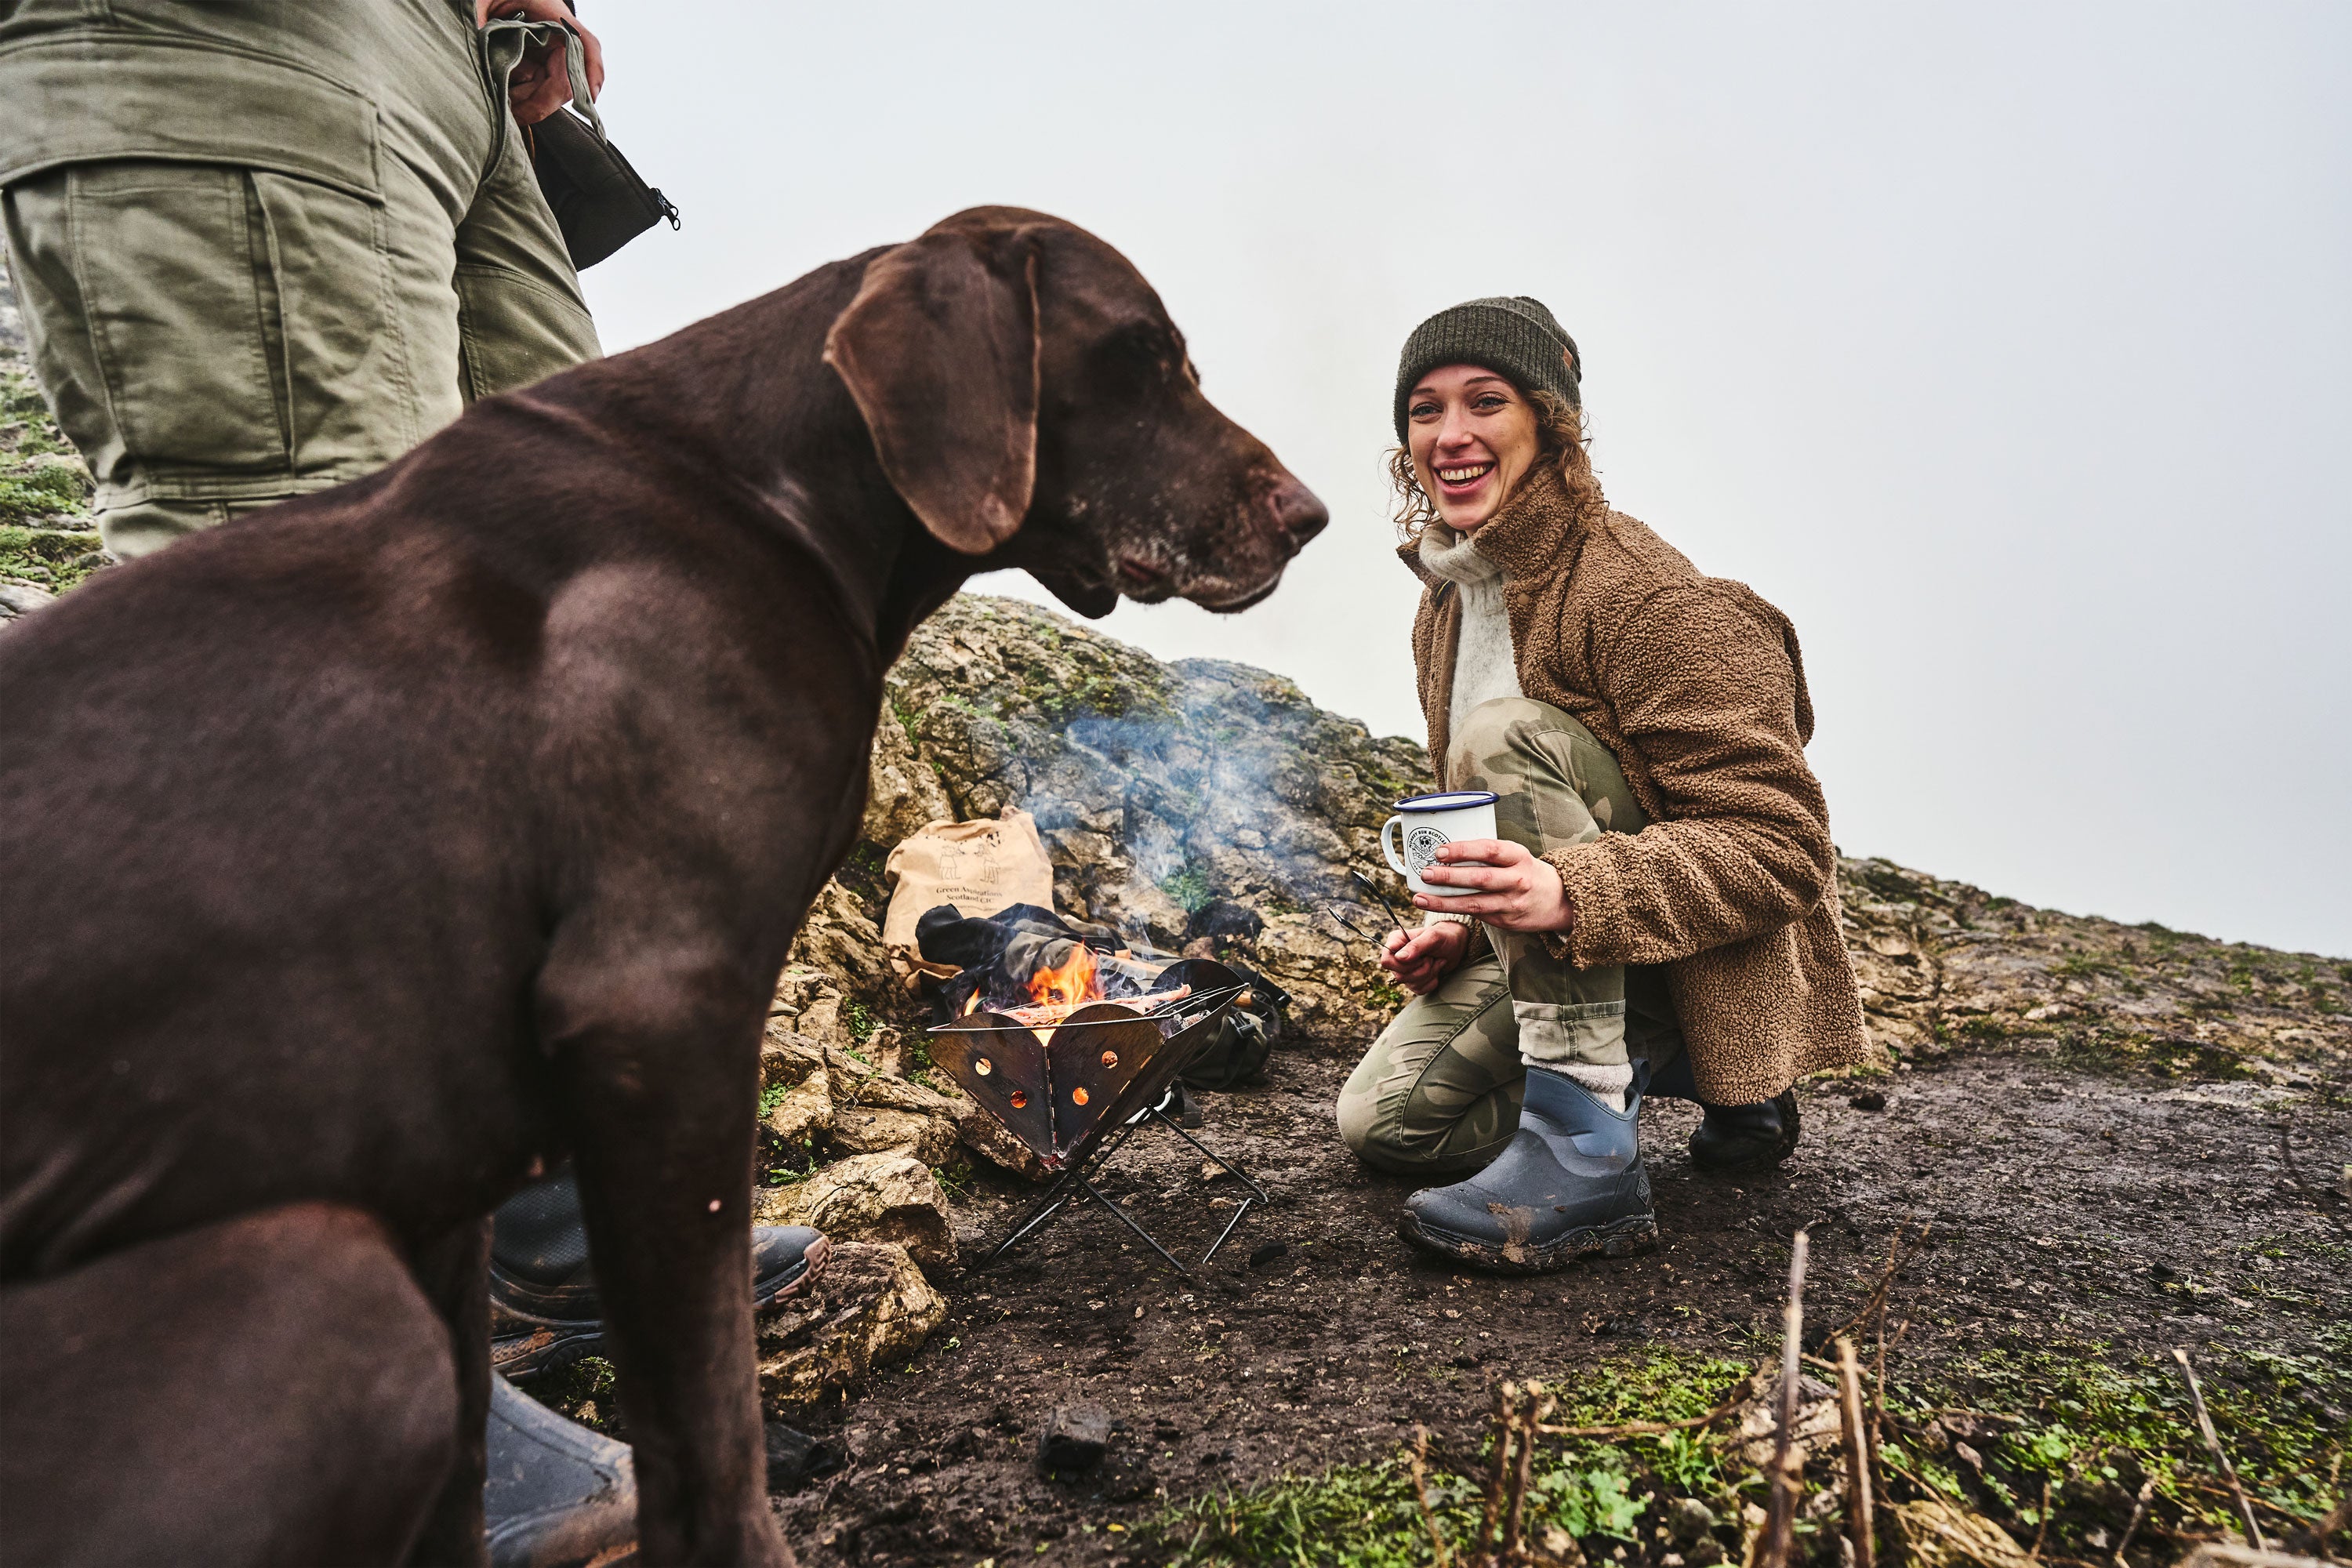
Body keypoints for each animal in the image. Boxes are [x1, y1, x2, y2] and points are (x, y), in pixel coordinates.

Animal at [0, 211, 1327, 1568]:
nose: (1313, 515)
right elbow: (710, 1430)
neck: (778, 489)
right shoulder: (661, 1015)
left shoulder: (440, 1176)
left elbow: (471, 1467)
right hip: (328, 1291)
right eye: (1142, 354)